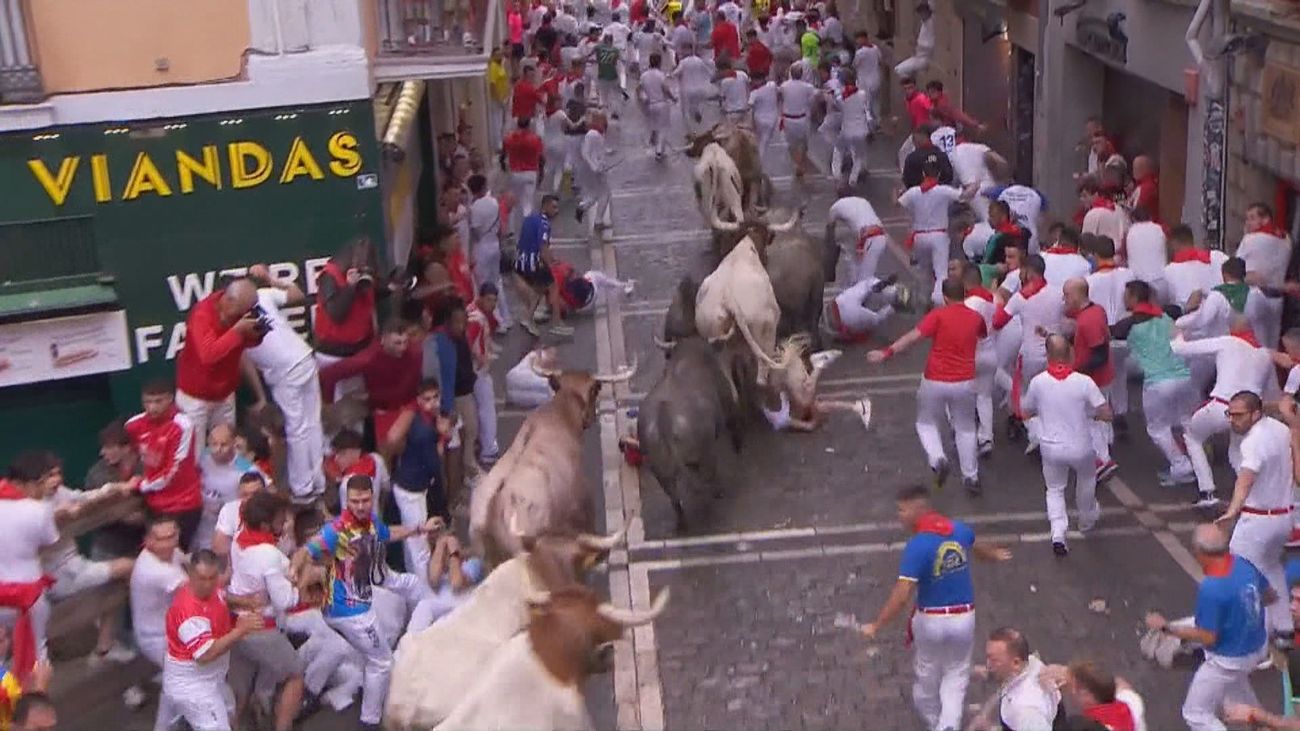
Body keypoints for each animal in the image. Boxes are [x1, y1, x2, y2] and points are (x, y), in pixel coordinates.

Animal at [639, 335, 743, 528]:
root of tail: (663, 417)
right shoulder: (728, 404)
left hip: (660, 471)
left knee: (674, 498)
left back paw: (682, 522)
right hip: (703, 454)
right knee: (707, 477)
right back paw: (716, 494)